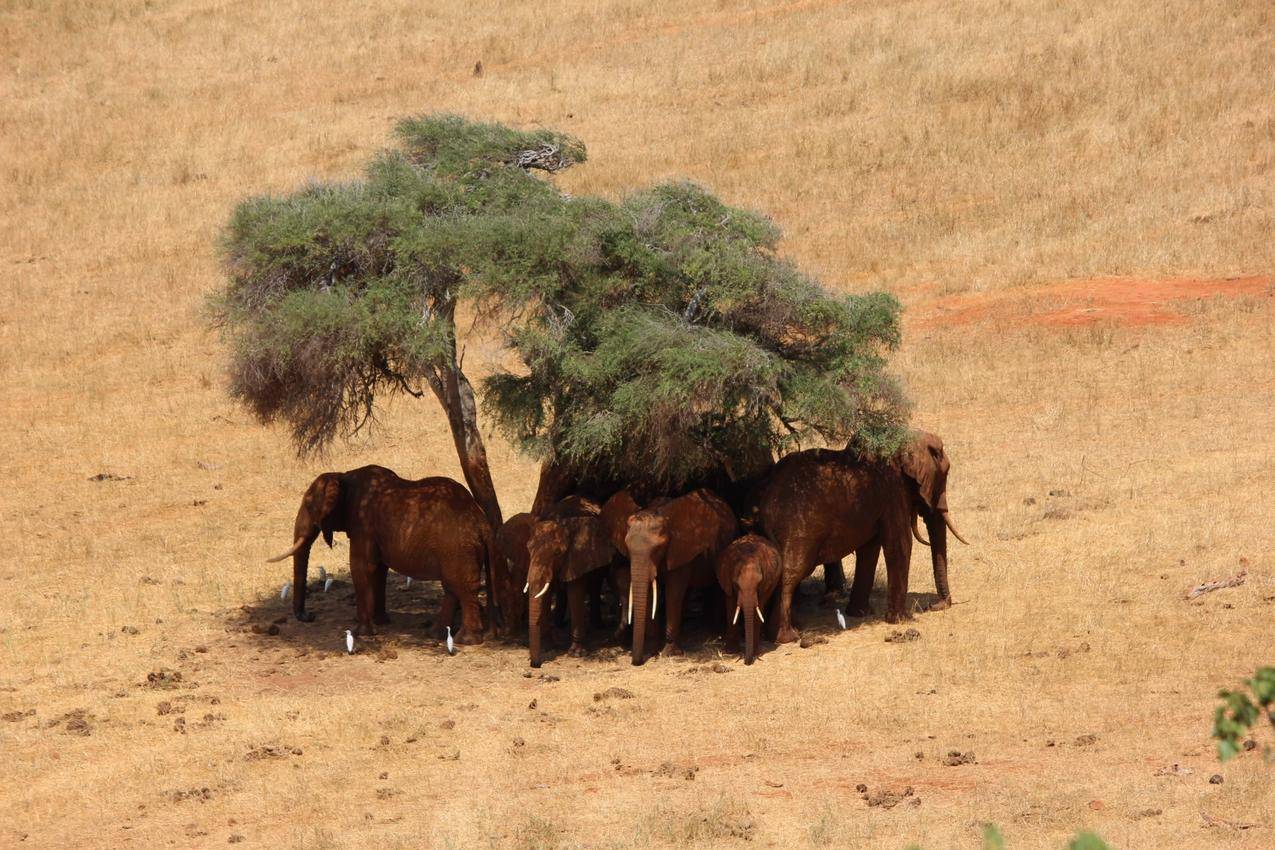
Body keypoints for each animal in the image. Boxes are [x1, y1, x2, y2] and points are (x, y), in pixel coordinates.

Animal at [267, 466, 497, 644]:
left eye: (308, 504)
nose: (310, 616)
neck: (343, 475)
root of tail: (483, 522)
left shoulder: (363, 523)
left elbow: (361, 566)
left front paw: (362, 632)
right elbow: (378, 569)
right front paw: (380, 622)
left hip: (458, 549)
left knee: (462, 588)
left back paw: (465, 641)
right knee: (452, 587)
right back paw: (435, 634)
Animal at [522, 509, 612, 667]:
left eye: (557, 553)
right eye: (528, 549)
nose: (535, 665)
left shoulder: (577, 559)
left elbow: (575, 593)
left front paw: (576, 654)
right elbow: (545, 595)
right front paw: (547, 648)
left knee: (595, 585)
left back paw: (597, 626)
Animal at [619, 491, 734, 662]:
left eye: (658, 549)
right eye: (627, 548)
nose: (636, 662)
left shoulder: (681, 550)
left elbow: (673, 593)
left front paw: (669, 653)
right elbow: (651, 594)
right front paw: (652, 650)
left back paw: (716, 631)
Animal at [714, 532, 780, 662]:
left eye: (759, 583)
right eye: (736, 584)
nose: (747, 662)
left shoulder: (765, 584)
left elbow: (759, 609)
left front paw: (755, 653)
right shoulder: (727, 581)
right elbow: (731, 607)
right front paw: (731, 651)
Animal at [754, 428, 963, 642]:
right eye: (945, 474)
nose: (933, 606)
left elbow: (869, 550)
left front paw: (860, 613)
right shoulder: (893, 490)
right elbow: (899, 544)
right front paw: (901, 619)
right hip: (798, 527)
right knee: (792, 572)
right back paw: (786, 637)